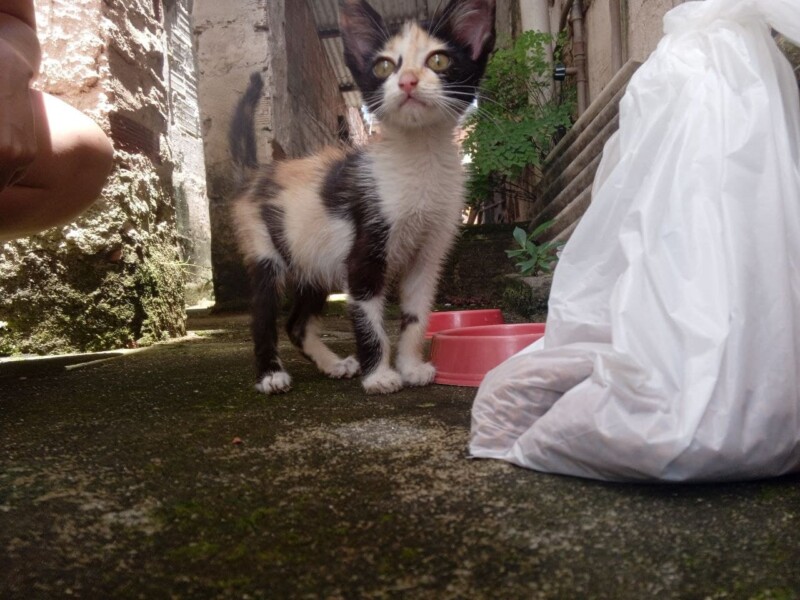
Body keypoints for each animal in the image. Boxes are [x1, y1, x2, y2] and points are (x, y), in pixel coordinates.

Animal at [228, 0, 496, 394]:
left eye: (438, 60)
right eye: (384, 66)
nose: (408, 81)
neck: (420, 157)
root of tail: (256, 174)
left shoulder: (428, 254)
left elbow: (416, 315)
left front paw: (411, 367)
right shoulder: (364, 250)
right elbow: (369, 316)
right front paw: (380, 376)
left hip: (314, 261)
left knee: (297, 324)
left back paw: (333, 364)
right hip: (265, 249)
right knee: (263, 315)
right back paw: (270, 375)